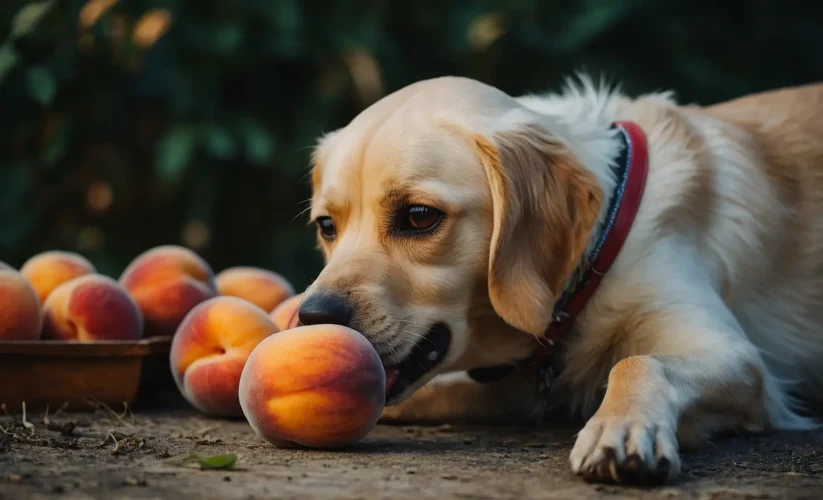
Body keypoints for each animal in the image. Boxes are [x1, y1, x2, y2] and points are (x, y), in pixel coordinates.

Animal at [298, 76, 823, 486]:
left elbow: (636, 361)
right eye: (326, 226)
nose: (312, 316)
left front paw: (621, 428)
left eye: (420, 216)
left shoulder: (737, 359)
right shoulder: (512, 388)